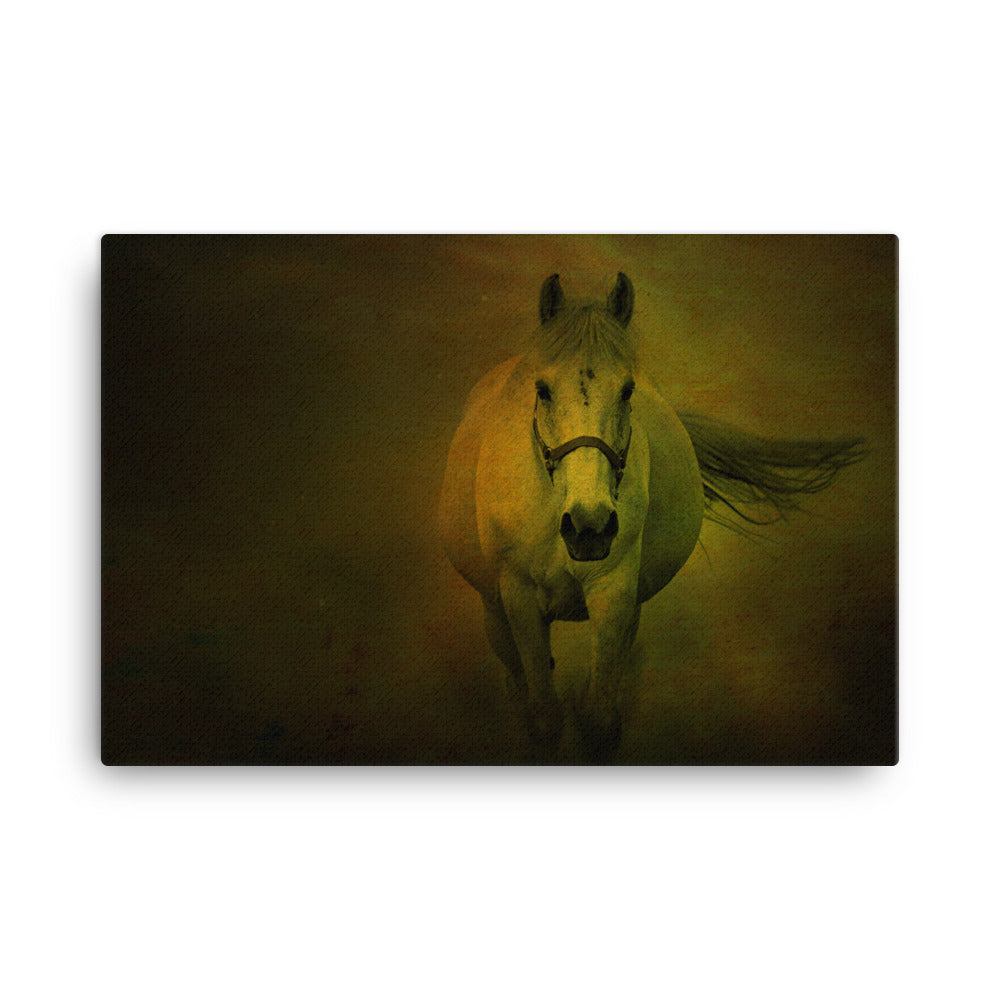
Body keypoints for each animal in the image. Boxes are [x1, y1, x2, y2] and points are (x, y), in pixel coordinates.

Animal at [438, 272, 864, 757]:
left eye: (627, 390)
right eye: (542, 389)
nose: (588, 527)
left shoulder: (616, 594)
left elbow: (600, 719)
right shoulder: (520, 598)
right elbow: (544, 717)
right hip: (494, 611)